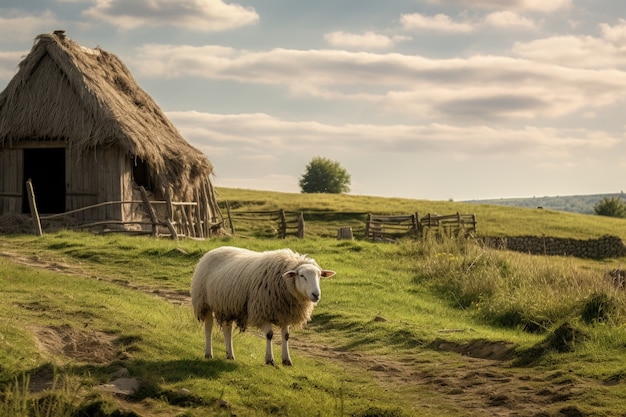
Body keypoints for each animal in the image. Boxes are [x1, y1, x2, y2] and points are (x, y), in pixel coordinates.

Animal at [190, 245, 334, 366]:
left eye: (319, 276)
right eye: (302, 275)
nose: (316, 294)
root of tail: (213, 250)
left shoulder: (285, 313)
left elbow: (286, 336)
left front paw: (286, 360)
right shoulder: (263, 311)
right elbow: (269, 335)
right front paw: (269, 359)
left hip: (226, 305)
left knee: (227, 330)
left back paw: (230, 355)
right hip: (204, 303)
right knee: (208, 327)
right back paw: (208, 353)